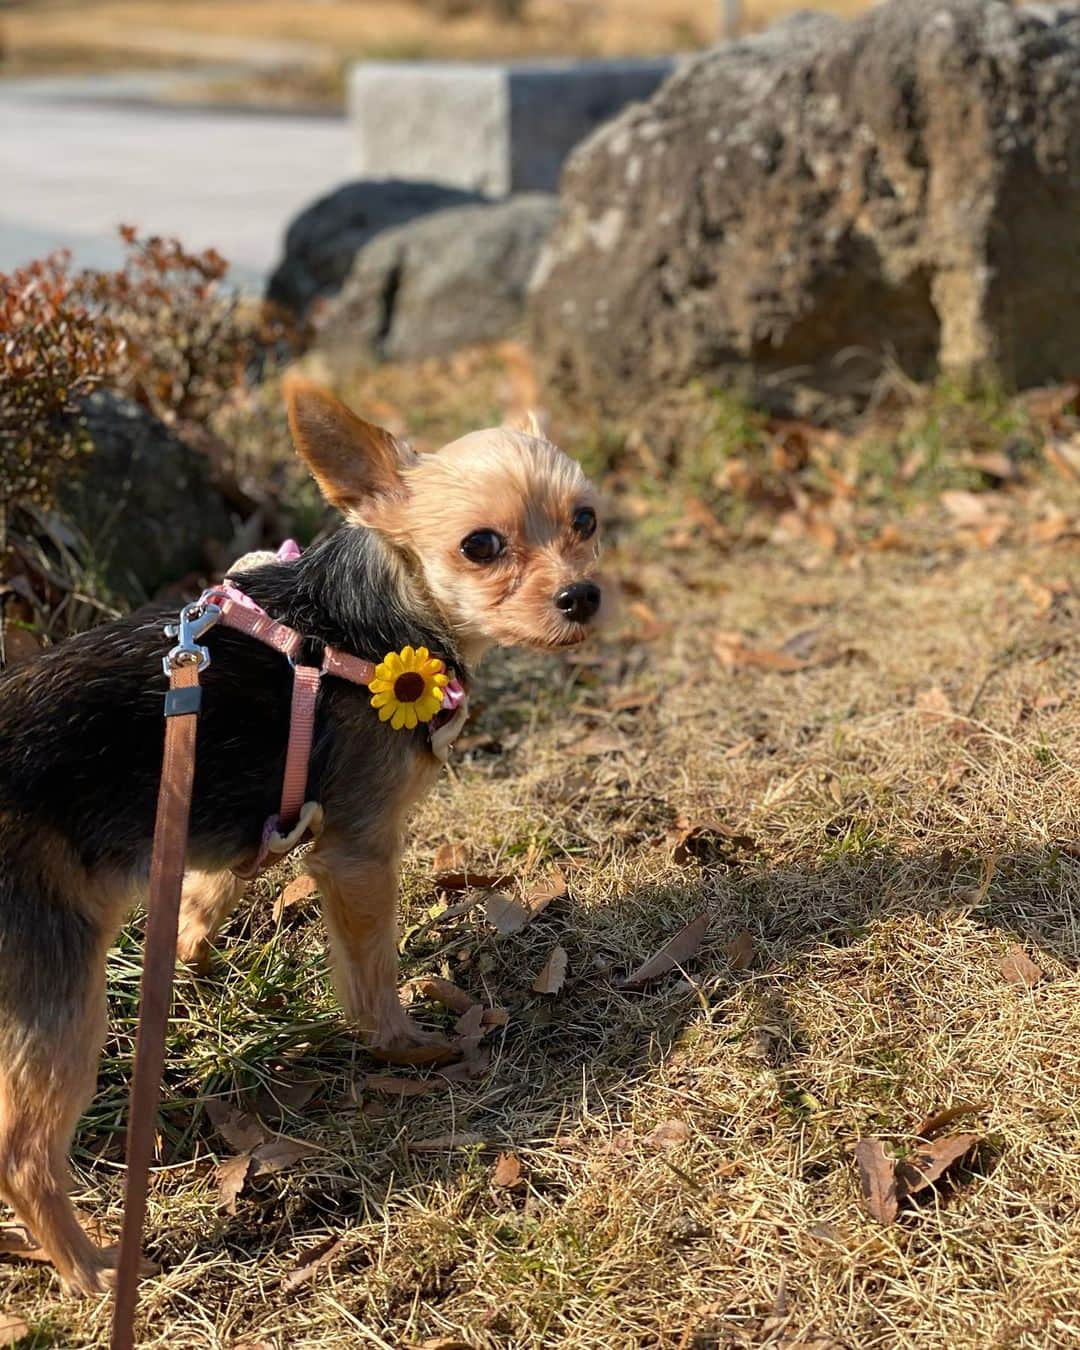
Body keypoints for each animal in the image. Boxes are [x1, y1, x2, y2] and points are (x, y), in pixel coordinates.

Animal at [0, 375, 599, 1290]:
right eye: (481, 546)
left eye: (586, 521)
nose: (582, 596)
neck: (371, 620)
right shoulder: (358, 851)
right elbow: (371, 973)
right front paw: (404, 1047)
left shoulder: (232, 825)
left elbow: (199, 906)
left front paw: (198, 968)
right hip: (58, 987)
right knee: (24, 1154)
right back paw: (92, 1268)